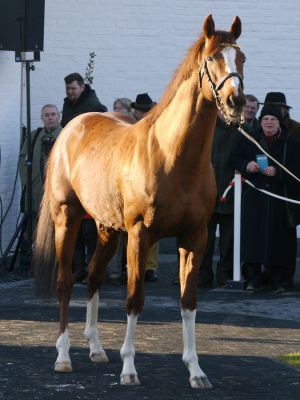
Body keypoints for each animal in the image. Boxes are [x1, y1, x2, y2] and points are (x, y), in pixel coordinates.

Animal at [34, 14, 246, 388]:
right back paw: (63, 356)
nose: (237, 102)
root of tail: (71, 127)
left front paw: (195, 370)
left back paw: (96, 348)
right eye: (212, 59)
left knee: (93, 277)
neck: (173, 156)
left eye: (242, 58)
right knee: (65, 284)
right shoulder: (139, 234)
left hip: (106, 230)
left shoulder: (196, 237)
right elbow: (134, 300)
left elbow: (189, 302)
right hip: (67, 219)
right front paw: (129, 368)